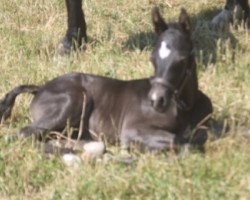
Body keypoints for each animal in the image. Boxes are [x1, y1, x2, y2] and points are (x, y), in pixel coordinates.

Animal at [0, 7, 212, 152]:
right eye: (152, 58)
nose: (156, 100)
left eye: (182, 60)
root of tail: (40, 88)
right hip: (74, 100)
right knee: (27, 133)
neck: (186, 109)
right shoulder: (131, 130)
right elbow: (180, 142)